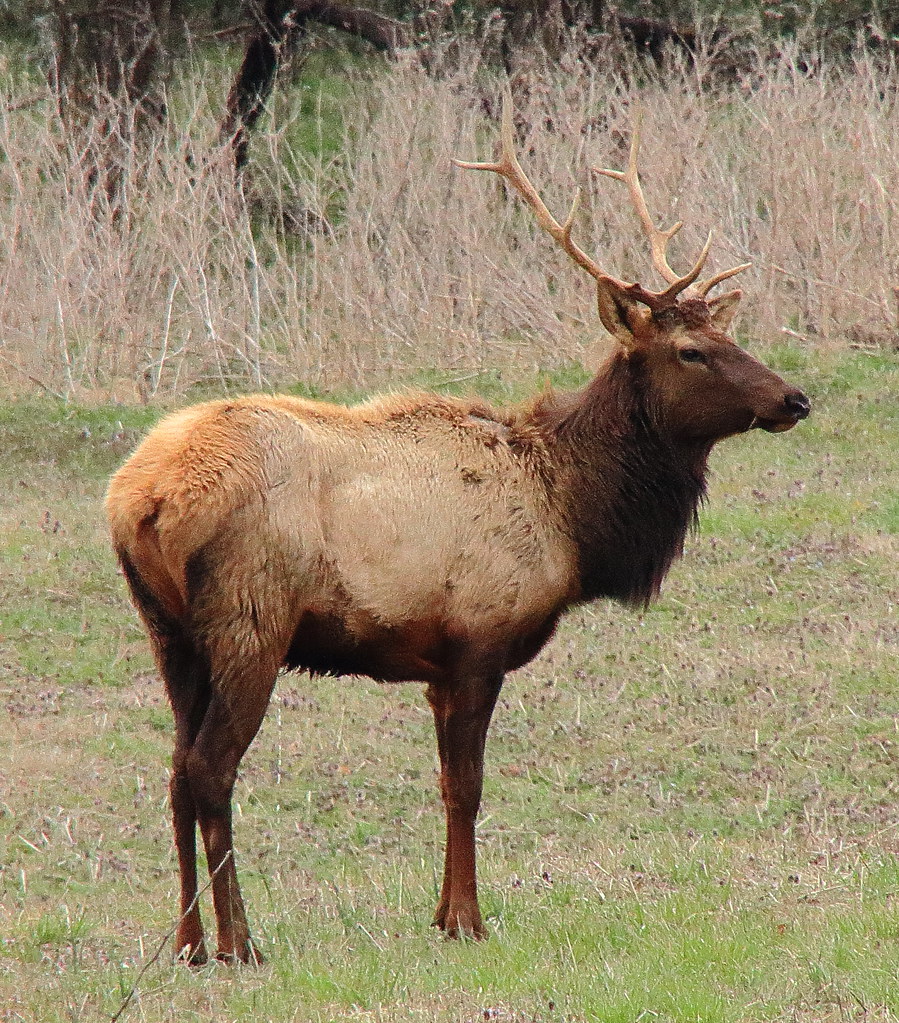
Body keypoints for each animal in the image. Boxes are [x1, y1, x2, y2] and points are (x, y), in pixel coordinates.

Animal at [105, 94, 809, 965]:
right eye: (689, 350)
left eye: (728, 336)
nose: (793, 398)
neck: (571, 517)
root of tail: (138, 498)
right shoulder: (480, 635)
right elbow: (470, 786)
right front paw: (472, 919)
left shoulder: (436, 662)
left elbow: (443, 786)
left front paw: (442, 914)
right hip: (249, 616)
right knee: (210, 767)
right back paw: (240, 941)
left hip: (167, 631)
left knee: (172, 768)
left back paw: (188, 941)